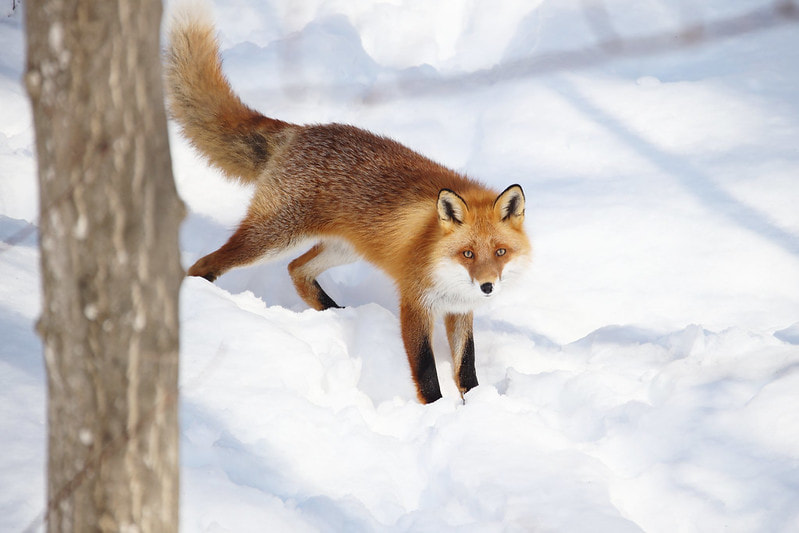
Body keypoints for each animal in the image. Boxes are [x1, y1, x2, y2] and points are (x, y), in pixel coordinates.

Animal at [164, 7, 531, 404]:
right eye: (467, 253)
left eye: (500, 252)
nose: (487, 287)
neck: (444, 264)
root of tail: (300, 131)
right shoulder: (415, 302)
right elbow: (426, 372)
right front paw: (435, 410)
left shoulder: (460, 309)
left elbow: (466, 368)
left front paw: (476, 406)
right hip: (272, 239)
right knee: (206, 264)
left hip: (343, 248)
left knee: (297, 269)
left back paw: (335, 315)